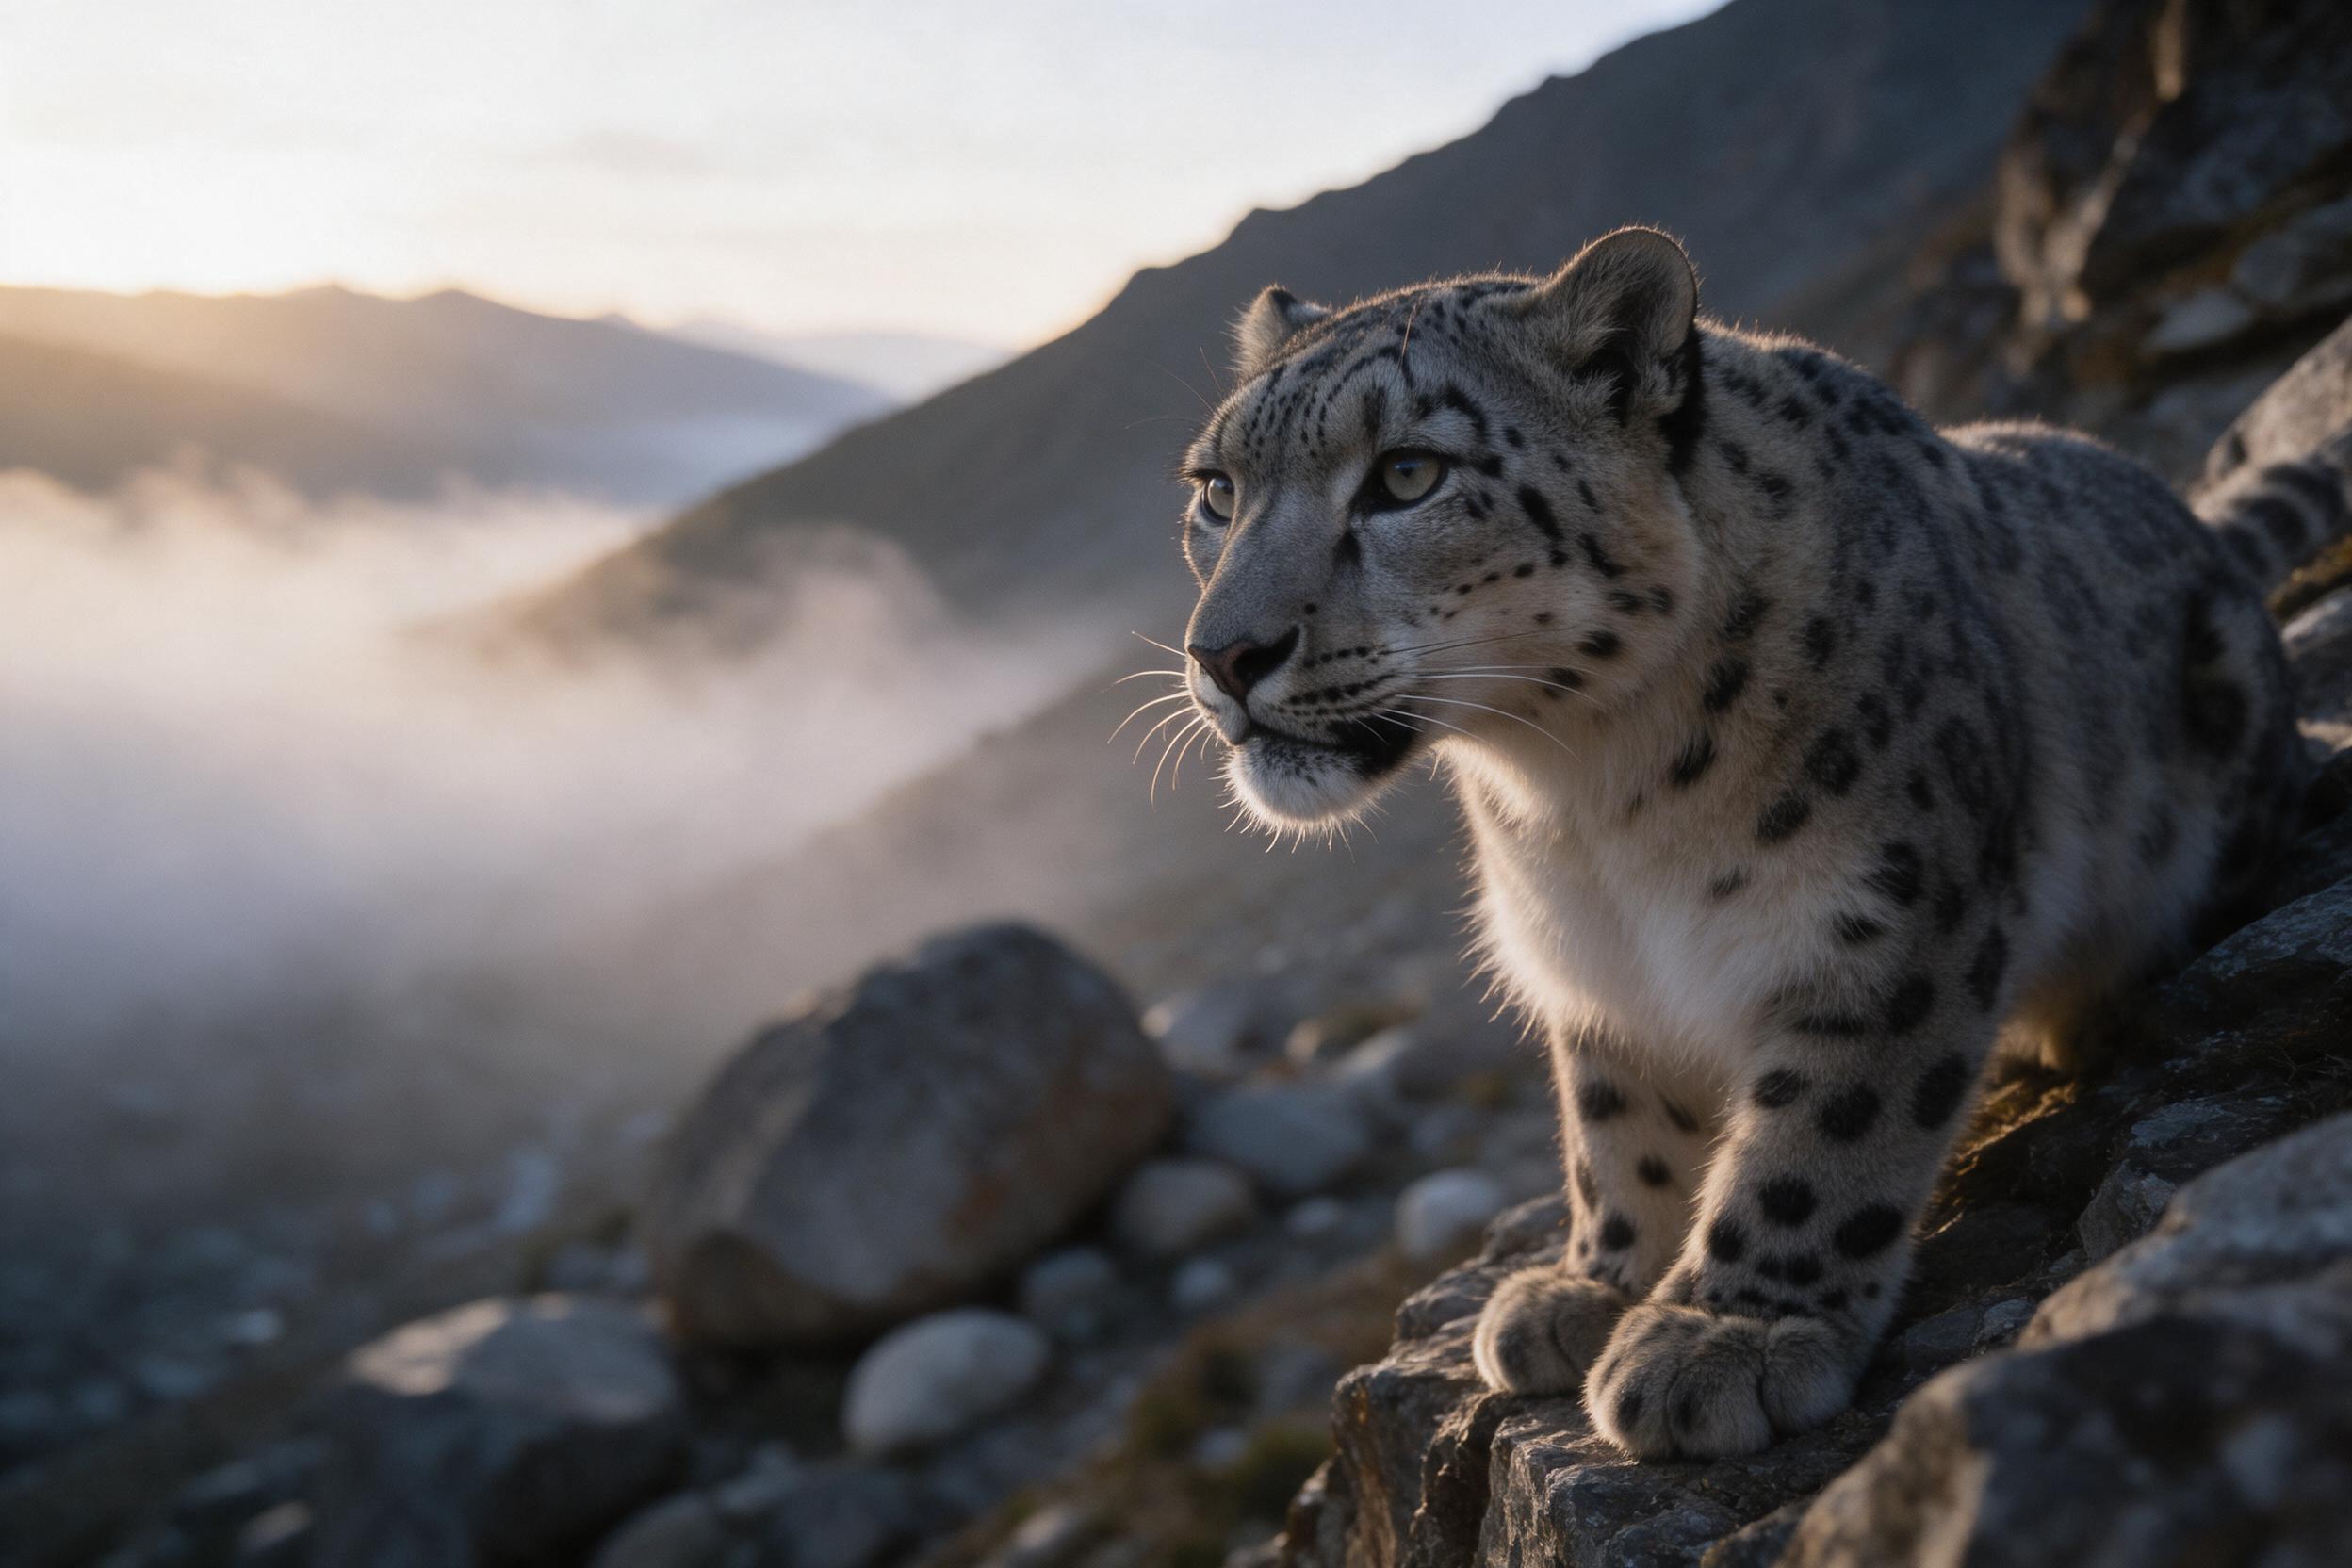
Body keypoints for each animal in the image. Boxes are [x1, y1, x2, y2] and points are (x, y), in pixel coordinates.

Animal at [1169, 226, 2352, 1458]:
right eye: (1217, 488)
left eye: (1408, 473)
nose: (1223, 654)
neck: (1589, 800)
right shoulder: (1596, 968)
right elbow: (1618, 1122)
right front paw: (1592, 1285)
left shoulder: (1881, 922)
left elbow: (1823, 1134)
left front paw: (1724, 1335)